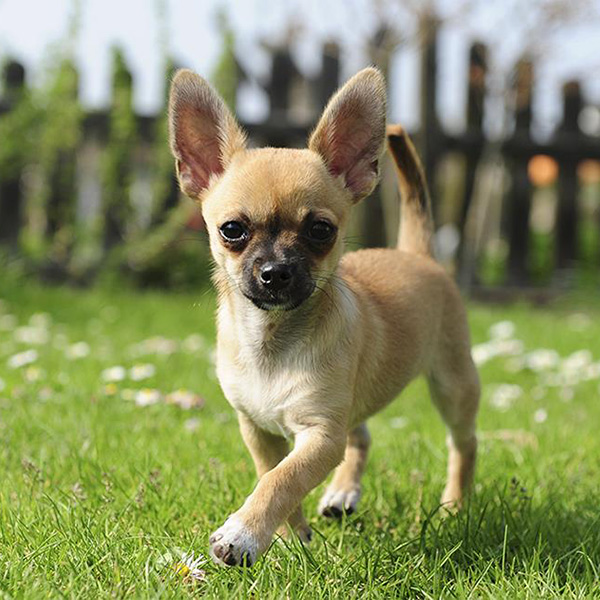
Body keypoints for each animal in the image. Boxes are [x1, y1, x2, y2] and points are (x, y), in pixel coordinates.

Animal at [168, 67, 478, 568]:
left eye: (320, 231)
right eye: (232, 230)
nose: (276, 272)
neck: (272, 341)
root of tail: (417, 253)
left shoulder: (319, 435)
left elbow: (281, 479)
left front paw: (242, 534)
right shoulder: (258, 431)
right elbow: (272, 475)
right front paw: (290, 537)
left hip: (454, 384)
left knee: (463, 443)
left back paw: (454, 505)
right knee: (362, 434)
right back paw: (342, 493)